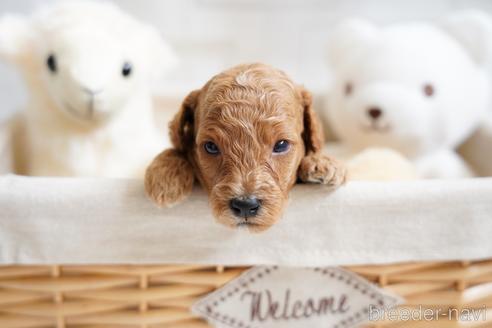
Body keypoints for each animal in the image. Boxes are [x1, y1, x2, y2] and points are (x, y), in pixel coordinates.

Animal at [145, 63, 346, 231]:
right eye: (211, 146)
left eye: (281, 145)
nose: (245, 206)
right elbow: (176, 149)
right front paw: (165, 180)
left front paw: (324, 163)